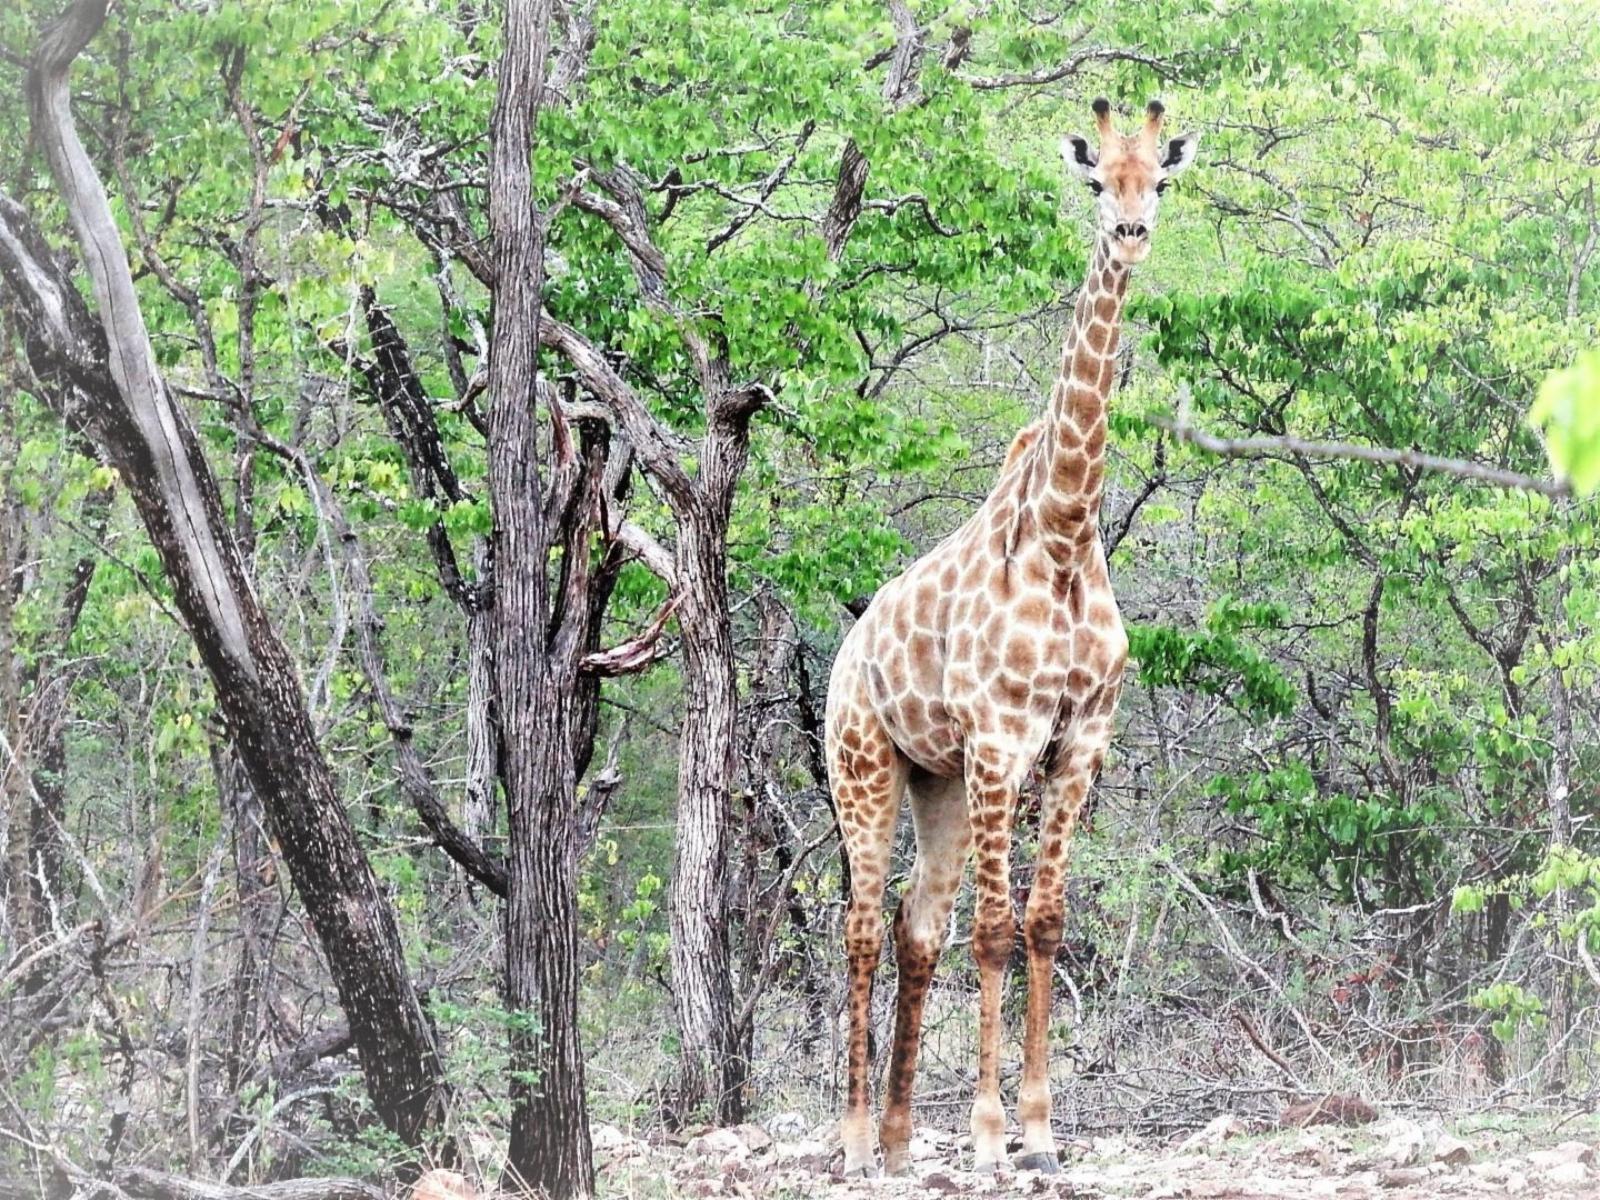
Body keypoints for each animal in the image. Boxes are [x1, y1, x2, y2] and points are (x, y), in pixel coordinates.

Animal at [826, 98, 1198, 1177]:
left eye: (1158, 179)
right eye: (1095, 182)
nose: (1131, 233)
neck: (1066, 534)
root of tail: (843, 659)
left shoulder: (1080, 741)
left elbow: (1043, 923)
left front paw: (1039, 1130)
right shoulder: (1001, 737)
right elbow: (994, 931)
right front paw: (992, 1136)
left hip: (936, 783)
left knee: (915, 925)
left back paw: (901, 1138)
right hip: (862, 765)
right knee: (862, 925)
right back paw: (855, 1138)